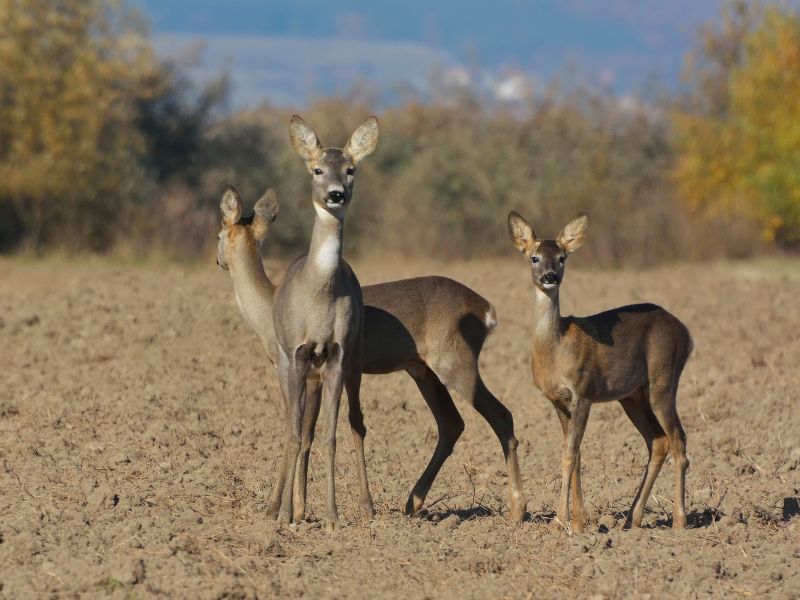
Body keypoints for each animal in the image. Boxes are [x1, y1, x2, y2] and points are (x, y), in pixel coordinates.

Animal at [510, 213, 692, 532]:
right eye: (534, 257)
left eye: (562, 258)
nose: (550, 276)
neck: (555, 349)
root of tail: (686, 334)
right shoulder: (558, 400)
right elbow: (575, 452)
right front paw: (579, 522)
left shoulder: (583, 391)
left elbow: (569, 454)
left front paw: (560, 521)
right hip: (633, 396)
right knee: (659, 441)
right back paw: (632, 518)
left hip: (664, 379)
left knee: (679, 440)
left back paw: (679, 521)